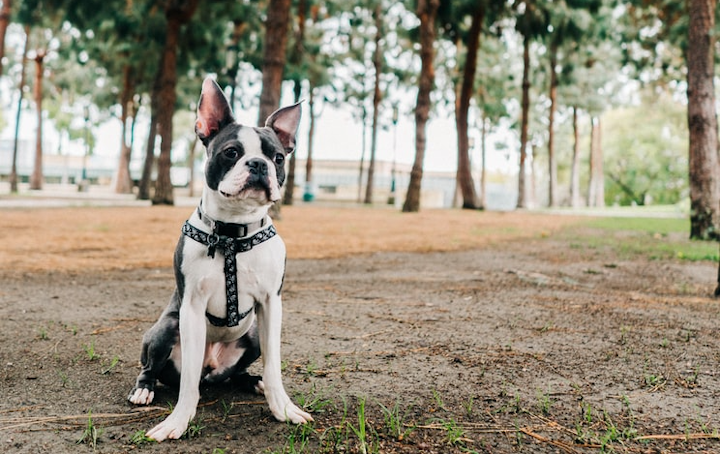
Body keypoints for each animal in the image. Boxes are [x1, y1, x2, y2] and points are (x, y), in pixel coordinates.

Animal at [129, 76, 312, 442]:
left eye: (278, 157)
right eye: (231, 152)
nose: (258, 164)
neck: (232, 234)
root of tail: (211, 368)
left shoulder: (271, 304)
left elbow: (274, 365)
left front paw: (282, 408)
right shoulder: (191, 307)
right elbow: (187, 383)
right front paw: (178, 421)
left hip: (252, 335)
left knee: (236, 372)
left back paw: (252, 381)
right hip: (166, 327)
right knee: (153, 369)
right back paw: (144, 389)